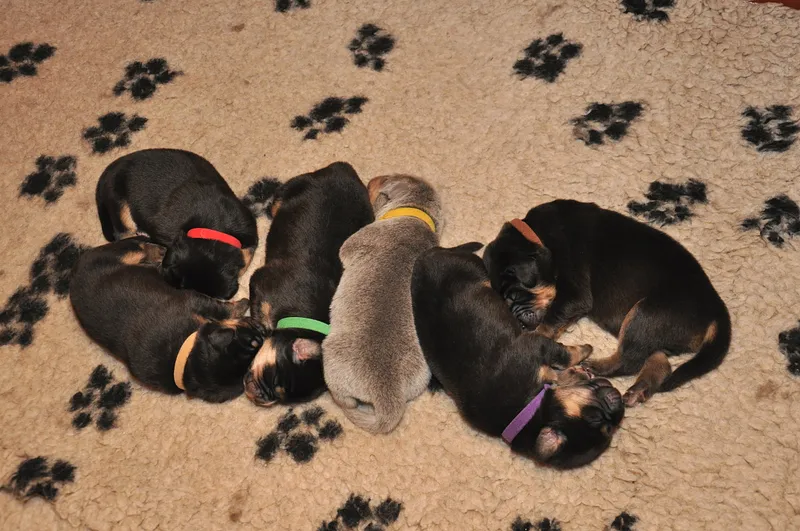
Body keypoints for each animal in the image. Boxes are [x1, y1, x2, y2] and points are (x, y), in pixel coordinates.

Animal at [69, 238, 266, 403]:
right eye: (252, 342)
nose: (262, 329)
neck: (185, 357)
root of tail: (75, 268)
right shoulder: (192, 300)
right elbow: (221, 308)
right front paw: (243, 303)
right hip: (115, 255)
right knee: (135, 246)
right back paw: (157, 251)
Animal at [244, 162, 374, 407]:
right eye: (274, 380)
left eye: (281, 398)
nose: (262, 398)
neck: (300, 315)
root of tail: (343, 168)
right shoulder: (259, 282)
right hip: (291, 189)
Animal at [322, 174, 442, 434]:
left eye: (386, 179)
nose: (371, 180)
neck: (416, 216)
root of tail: (388, 395)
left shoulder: (356, 241)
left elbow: (344, 249)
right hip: (419, 375)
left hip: (333, 361)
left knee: (345, 399)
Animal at [411, 243, 624, 469]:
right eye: (597, 419)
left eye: (609, 429)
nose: (619, 400)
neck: (529, 408)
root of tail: (430, 253)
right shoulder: (538, 345)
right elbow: (565, 355)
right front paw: (584, 352)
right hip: (473, 268)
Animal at [482, 199, 731, 406]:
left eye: (513, 296)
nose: (521, 324)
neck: (538, 237)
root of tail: (717, 310)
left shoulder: (574, 294)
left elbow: (548, 324)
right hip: (654, 328)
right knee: (657, 361)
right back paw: (639, 390)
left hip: (646, 313)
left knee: (629, 360)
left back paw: (595, 366)